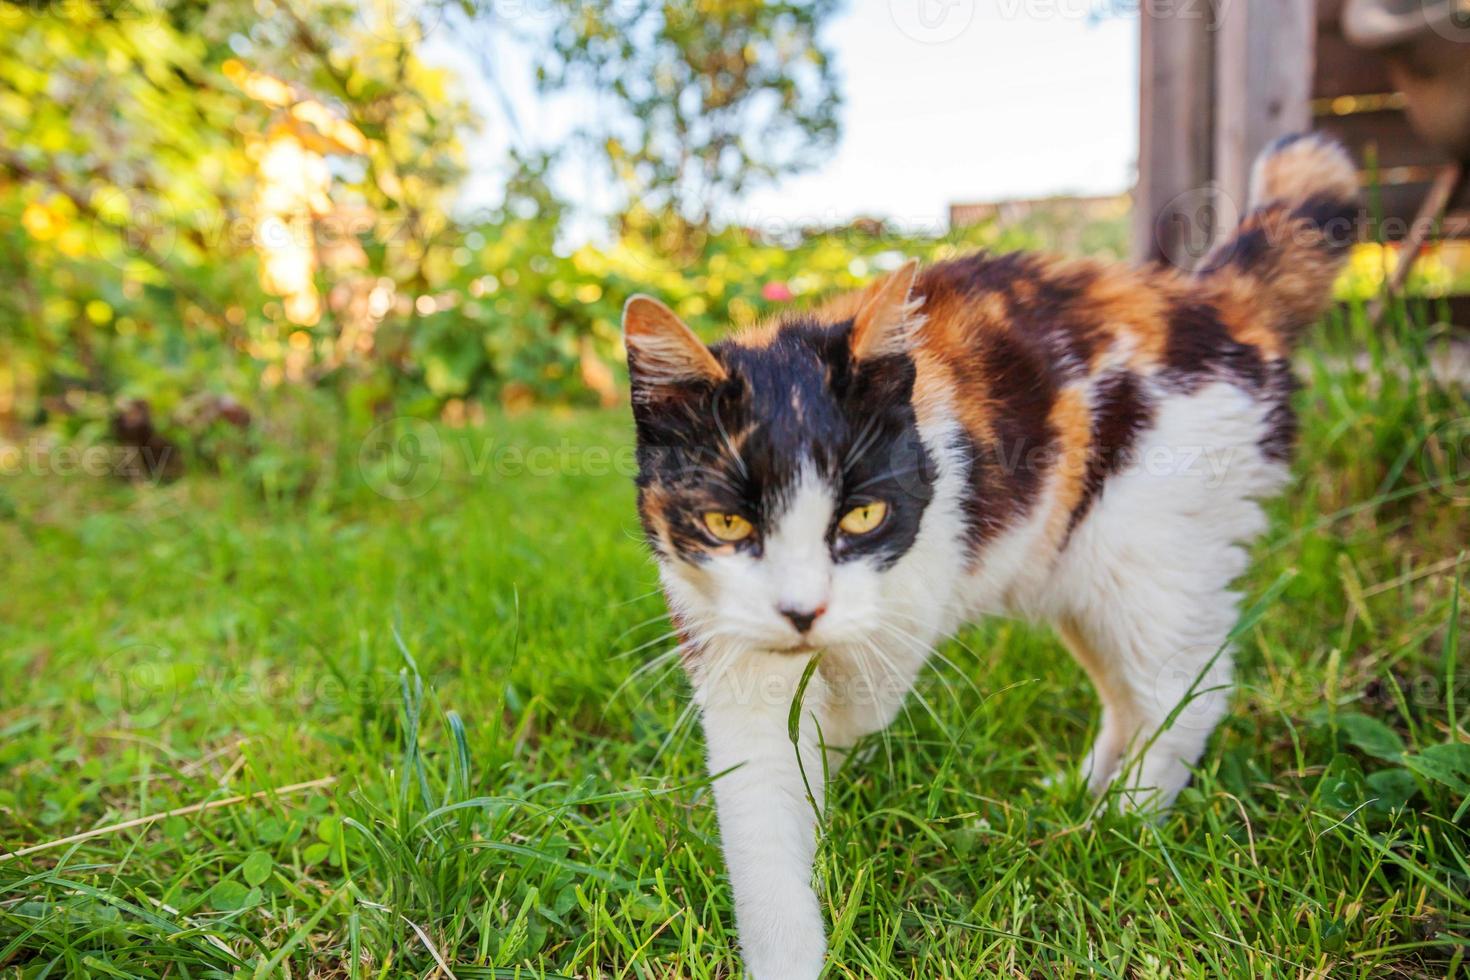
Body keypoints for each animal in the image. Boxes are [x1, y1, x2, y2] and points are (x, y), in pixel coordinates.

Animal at [617, 134, 1352, 975]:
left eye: (862, 515)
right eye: (728, 524)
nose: (803, 610)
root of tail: (1208, 300)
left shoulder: (921, 575)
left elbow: (860, 698)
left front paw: (836, 743)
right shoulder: (722, 634)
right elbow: (763, 807)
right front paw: (788, 944)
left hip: (1148, 548)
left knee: (1186, 689)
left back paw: (1121, 823)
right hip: (1077, 569)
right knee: (1128, 694)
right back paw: (1081, 793)